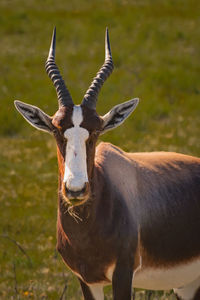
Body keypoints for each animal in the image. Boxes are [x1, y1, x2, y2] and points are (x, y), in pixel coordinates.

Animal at [14, 28, 200, 300]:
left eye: (96, 130)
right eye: (56, 130)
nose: (76, 190)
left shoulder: (123, 273)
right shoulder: (86, 279)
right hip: (187, 285)